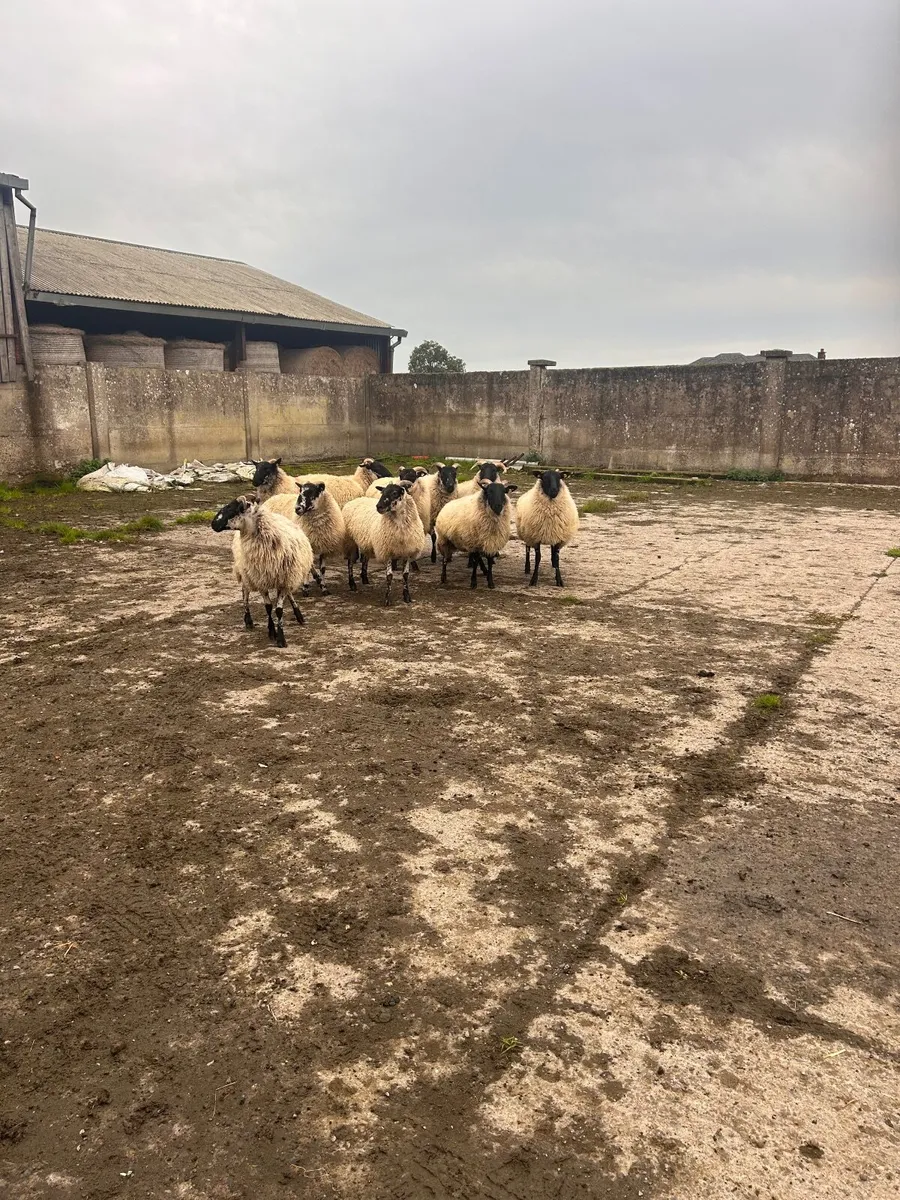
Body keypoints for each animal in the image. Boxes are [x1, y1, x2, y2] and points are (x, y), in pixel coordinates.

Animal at [211, 495, 313, 647]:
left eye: (233, 508)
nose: (213, 524)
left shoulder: (285, 579)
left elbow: (279, 609)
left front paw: (281, 638)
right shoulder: (260, 580)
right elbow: (268, 607)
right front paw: (272, 632)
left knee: (289, 593)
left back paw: (299, 615)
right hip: (245, 572)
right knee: (245, 593)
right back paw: (248, 620)